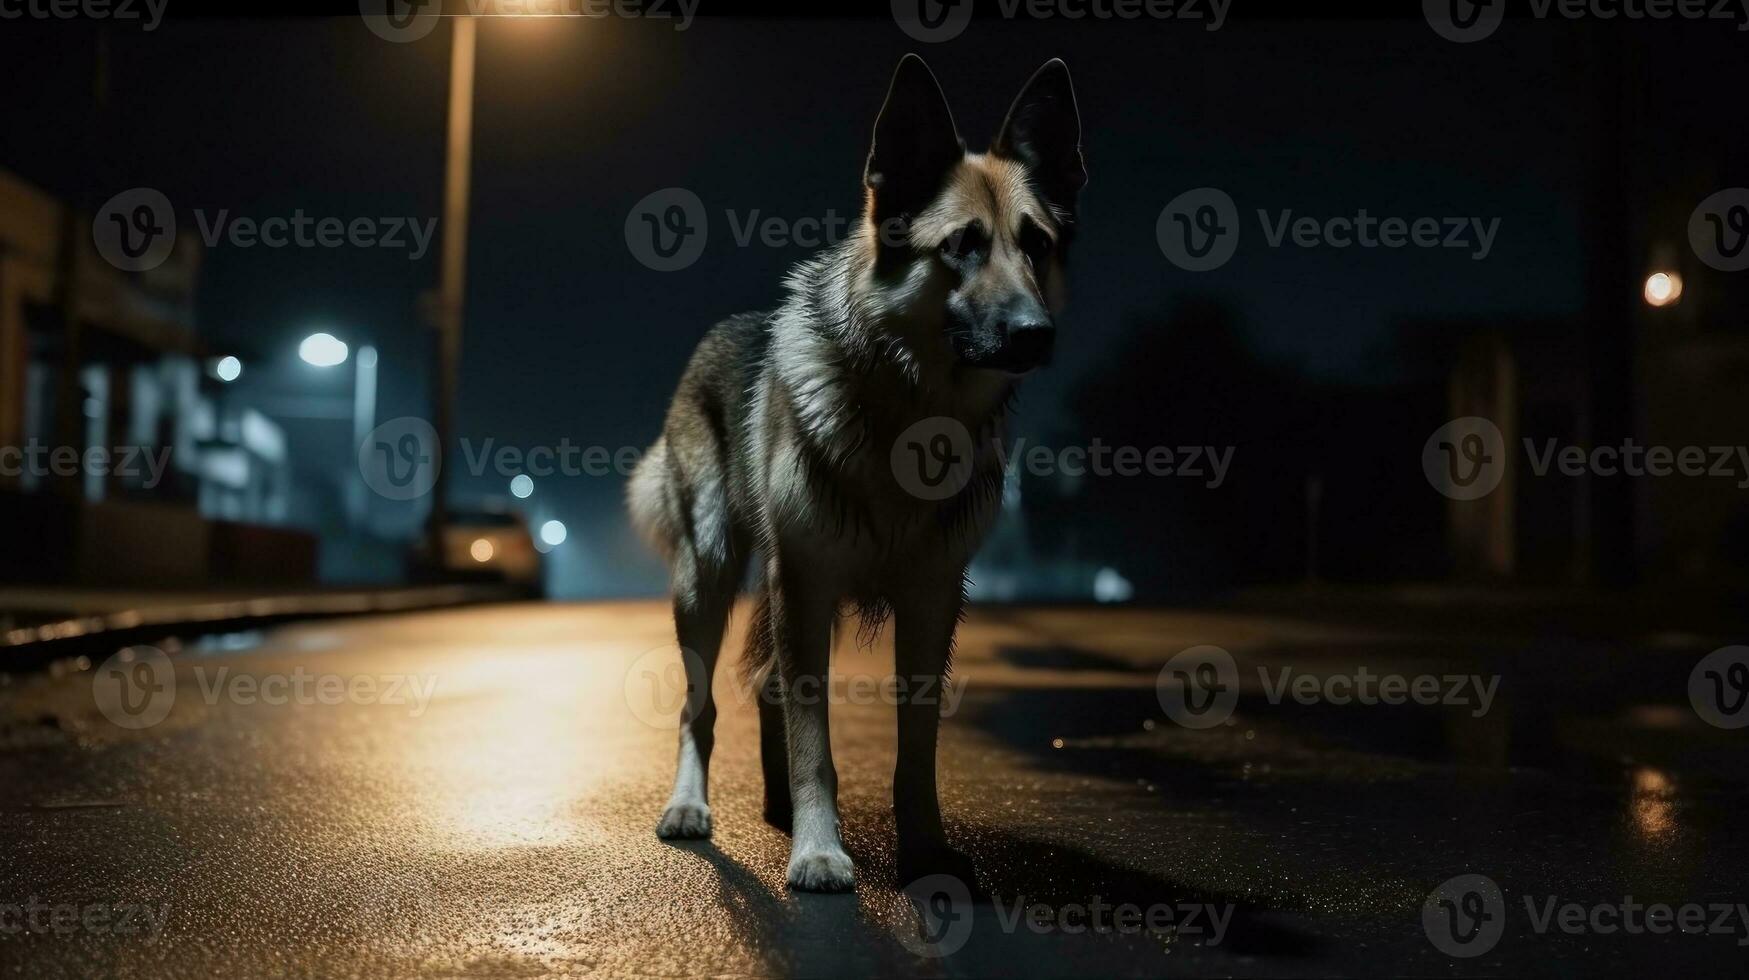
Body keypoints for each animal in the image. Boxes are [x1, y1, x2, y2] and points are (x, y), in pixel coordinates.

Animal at [636, 57, 1084, 892]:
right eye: (962, 246)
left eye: (1035, 245)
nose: (1035, 335)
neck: (909, 414)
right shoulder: (806, 587)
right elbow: (816, 743)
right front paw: (820, 851)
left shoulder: (931, 599)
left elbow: (916, 751)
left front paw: (925, 852)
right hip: (705, 579)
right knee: (699, 707)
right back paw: (690, 807)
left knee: (764, 689)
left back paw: (776, 808)